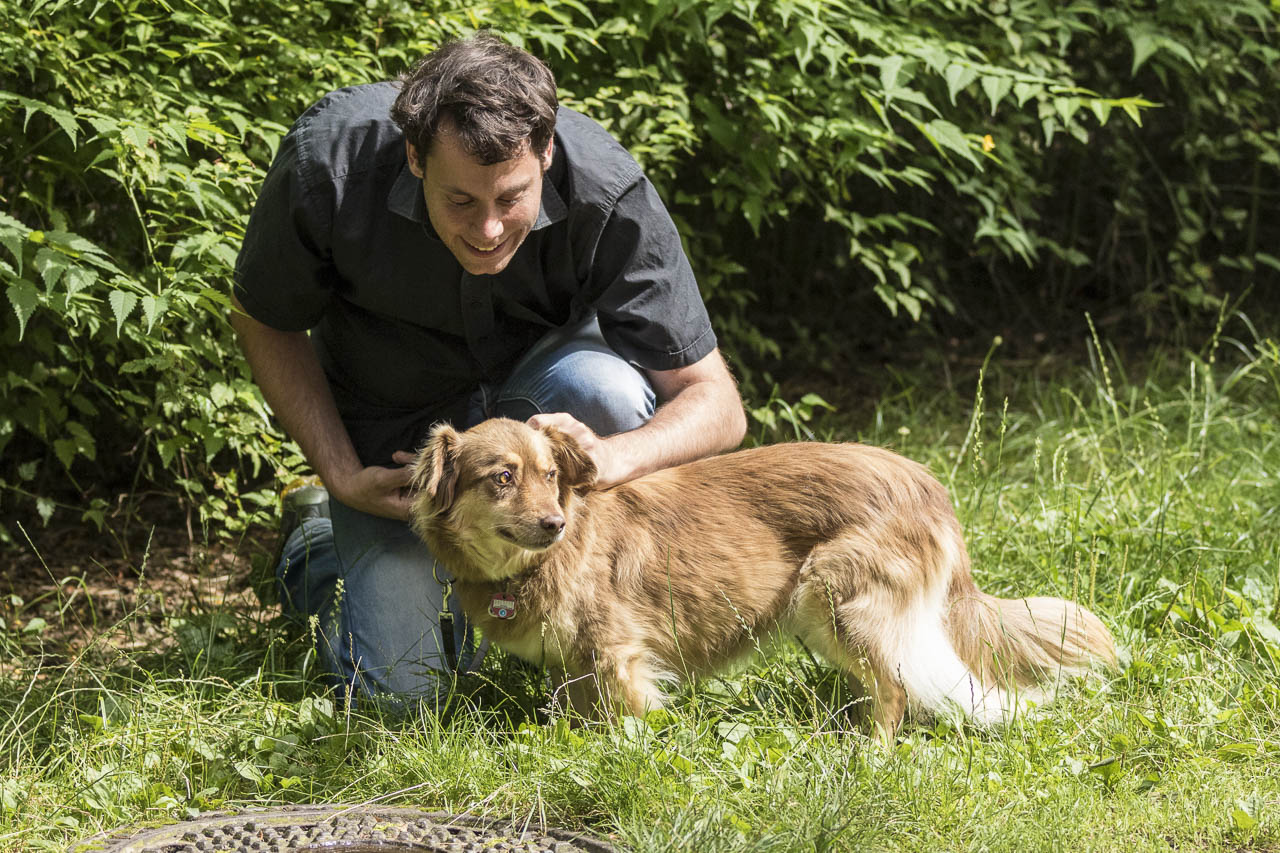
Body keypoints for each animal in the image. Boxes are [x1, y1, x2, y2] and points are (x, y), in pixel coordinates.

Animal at [409, 417, 1115, 741]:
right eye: (503, 478)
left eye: (551, 475)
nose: (554, 523)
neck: (537, 566)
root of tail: (926, 484)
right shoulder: (575, 664)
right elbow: (581, 715)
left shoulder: (616, 653)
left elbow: (625, 721)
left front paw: (625, 755)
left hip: (834, 598)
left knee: (893, 689)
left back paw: (867, 751)